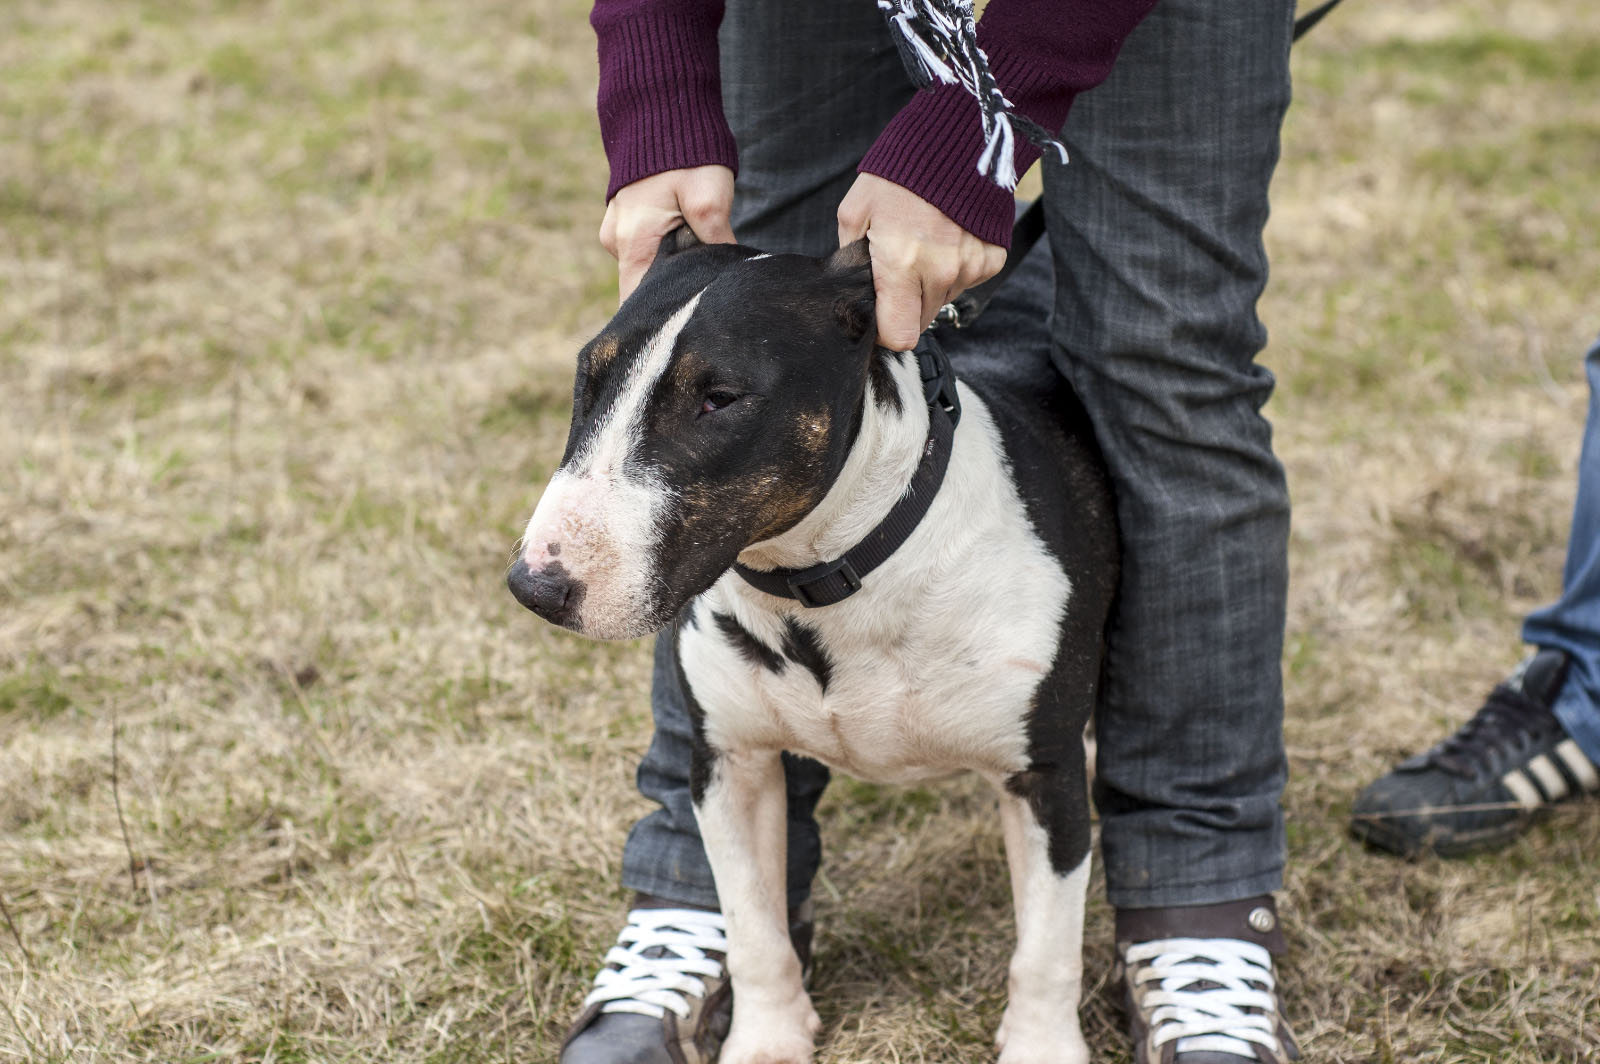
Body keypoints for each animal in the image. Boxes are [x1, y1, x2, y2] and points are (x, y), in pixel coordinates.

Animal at [505, 225, 1120, 1062]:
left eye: (719, 400)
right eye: (588, 378)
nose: (536, 586)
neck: (826, 578)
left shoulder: (1042, 779)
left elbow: (1047, 952)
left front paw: (1040, 1049)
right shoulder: (727, 763)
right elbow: (754, 930)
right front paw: (767, 1039)